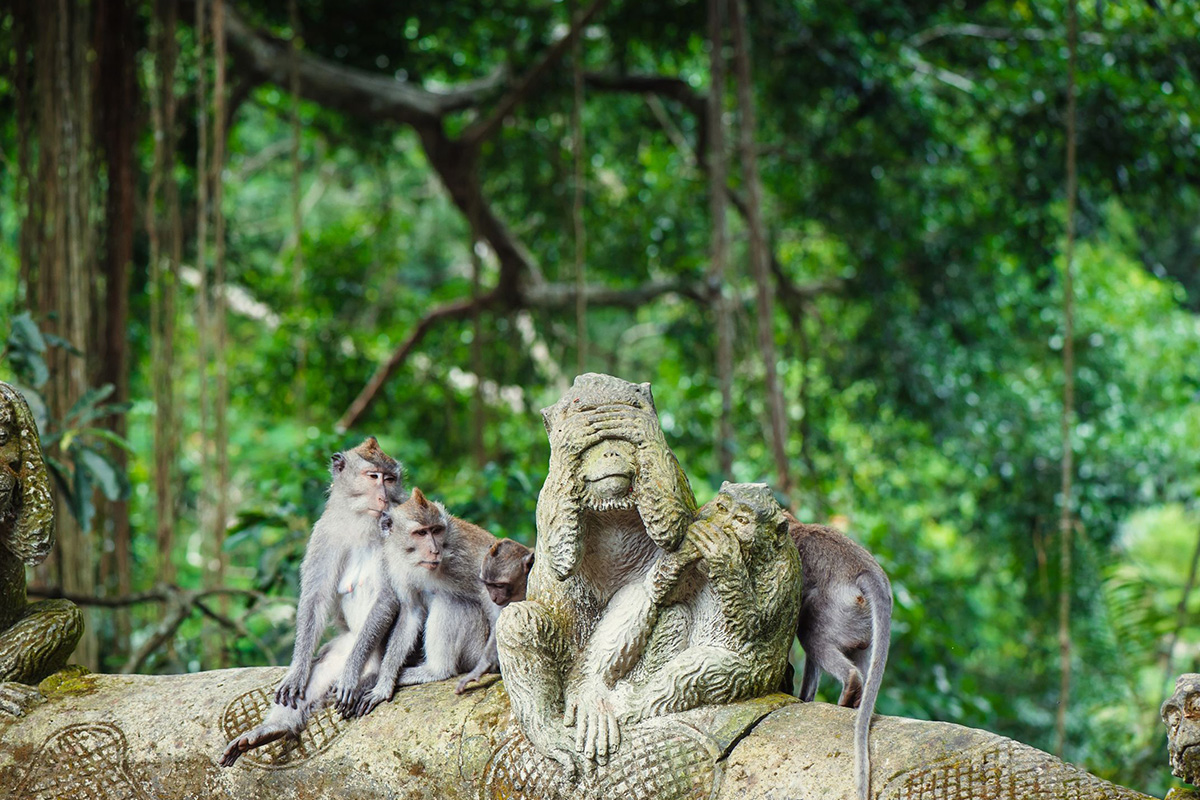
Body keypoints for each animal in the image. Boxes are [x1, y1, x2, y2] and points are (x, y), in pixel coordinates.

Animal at [219, 437, 404, 767]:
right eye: (373, 476)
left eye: (391, 479)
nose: (384, 497)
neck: (362, 522)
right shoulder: (324, 531)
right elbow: (315, 599)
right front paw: (297, 671)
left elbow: (388, 597)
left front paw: (351, 676)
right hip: (346, 643)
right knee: (324, 666)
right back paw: (273, 729)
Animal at [347, 487, 496, 718]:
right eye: (421, 533)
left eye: (436, 530)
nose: (434, 550)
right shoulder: (395, 564)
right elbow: (411, 612)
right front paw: (384, 684)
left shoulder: (466, 556)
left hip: (477, 649)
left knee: (450, 601)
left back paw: (437, 671)